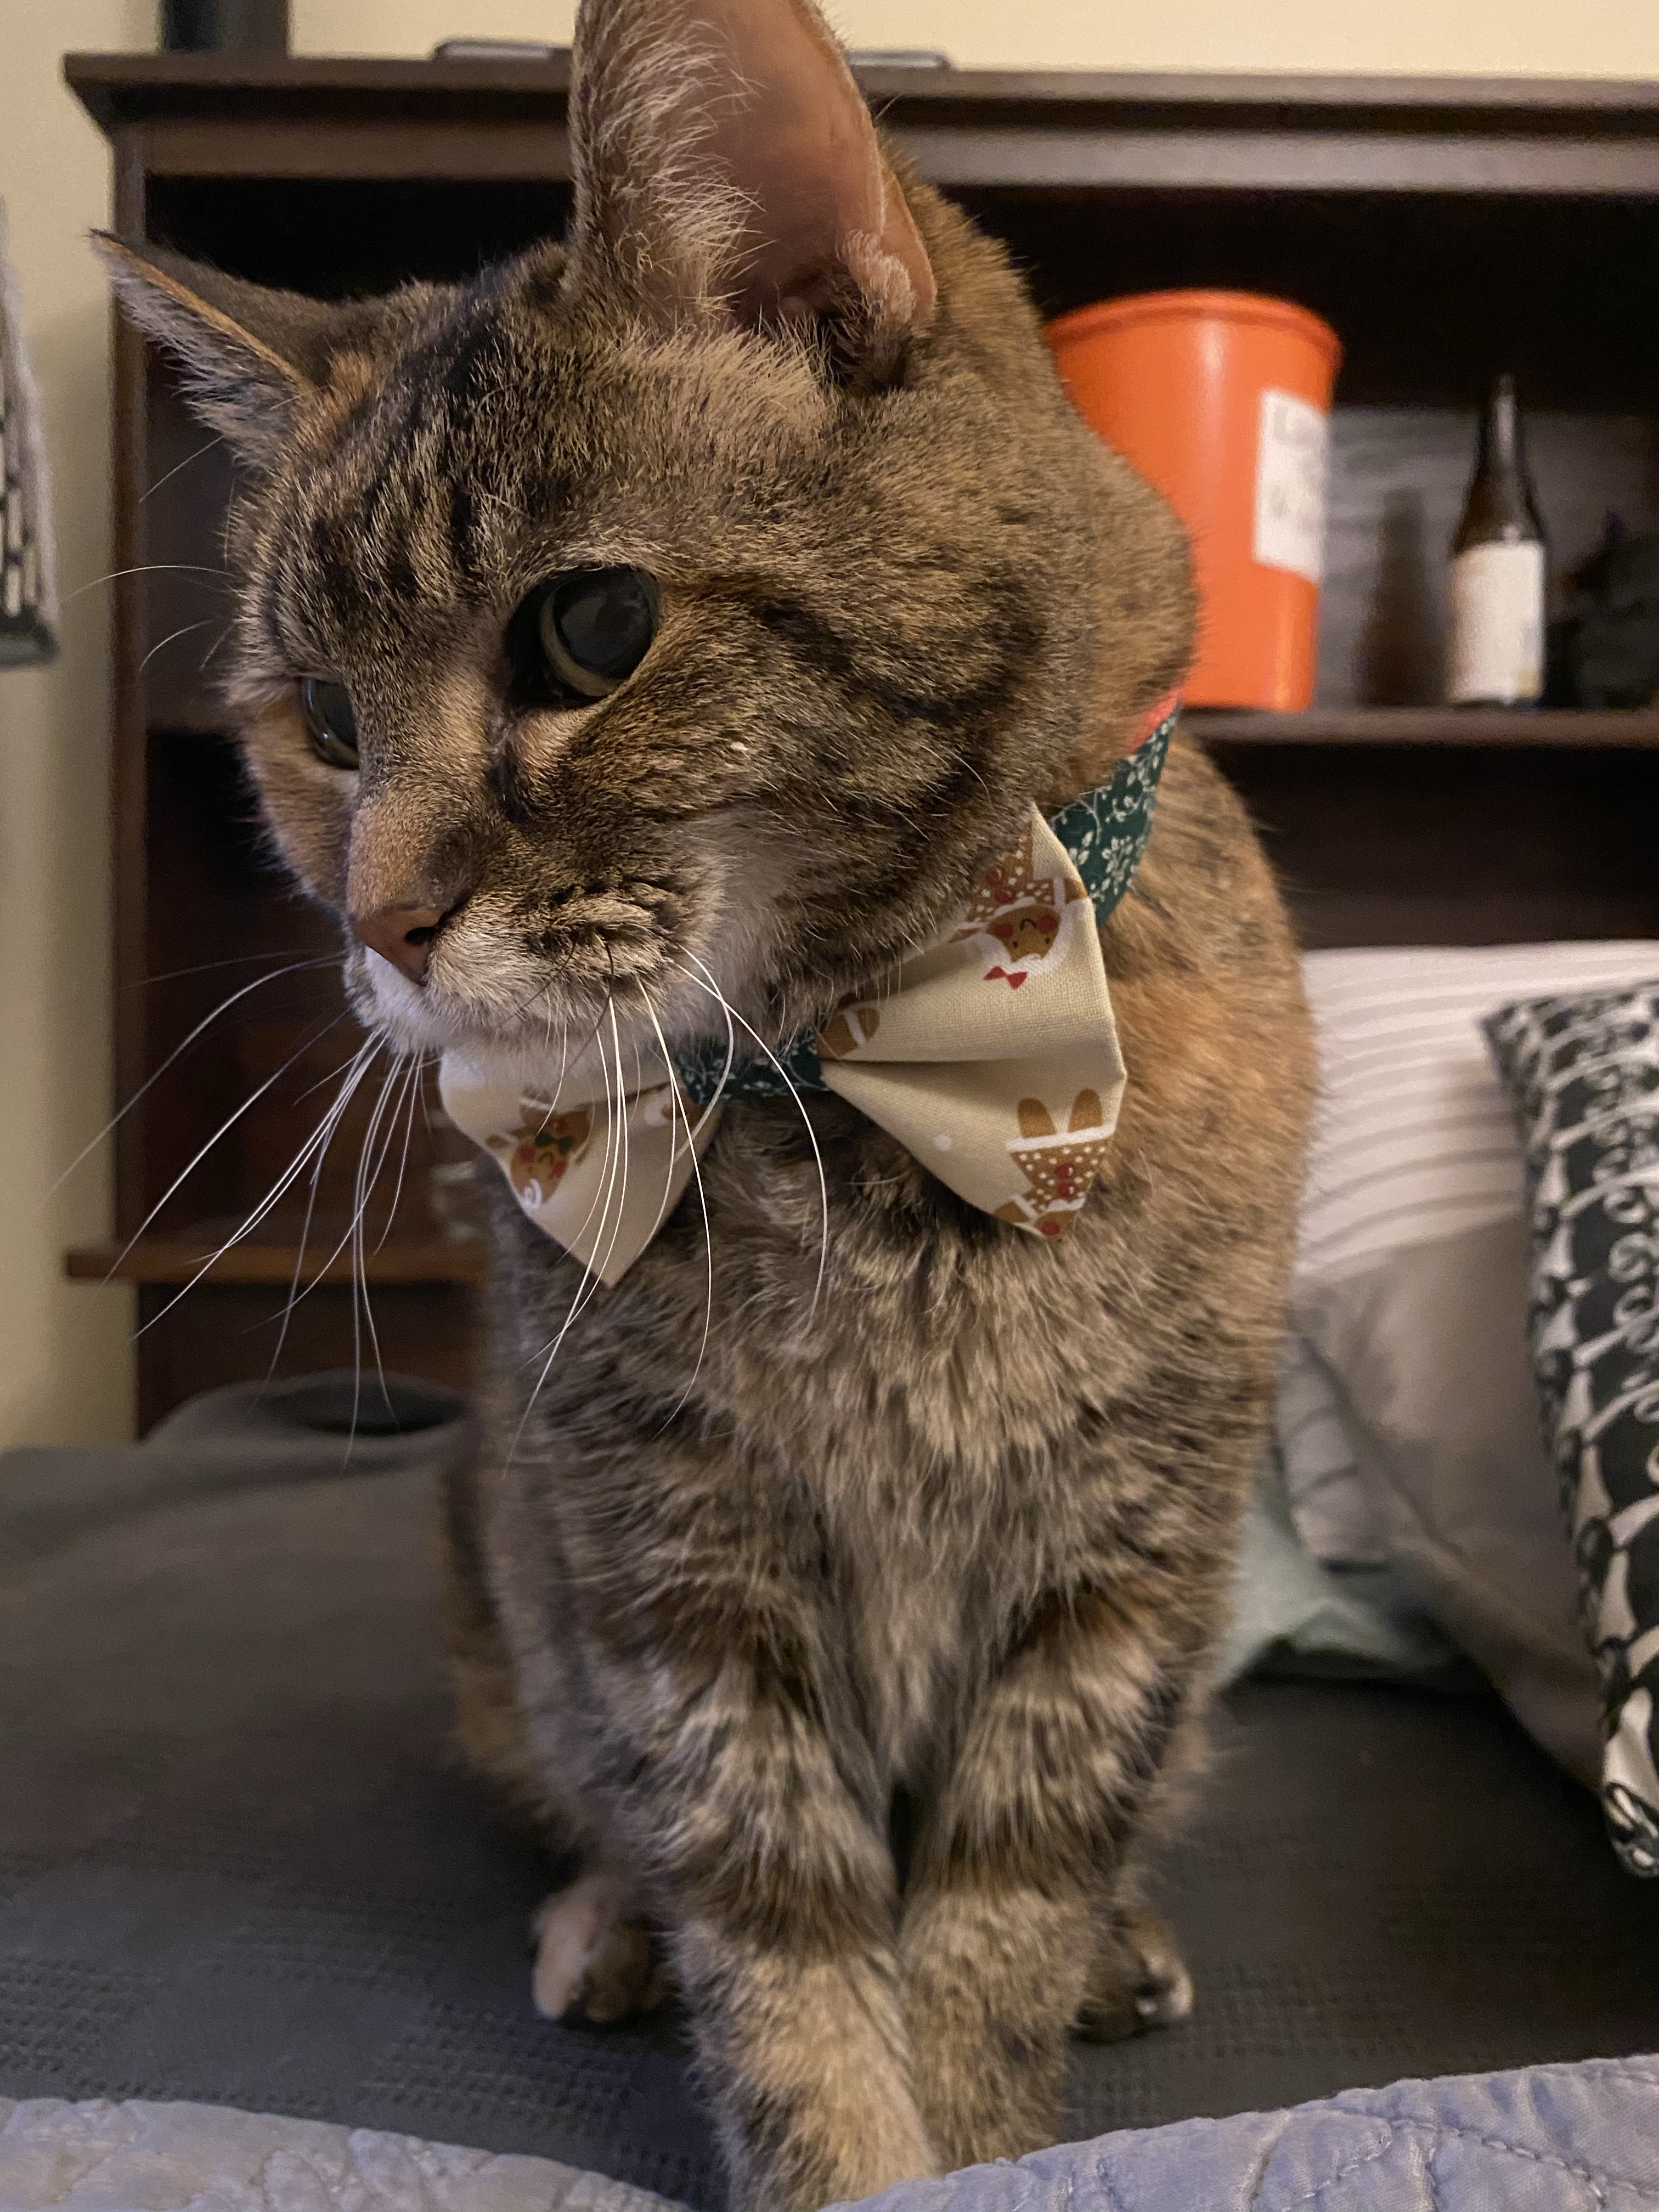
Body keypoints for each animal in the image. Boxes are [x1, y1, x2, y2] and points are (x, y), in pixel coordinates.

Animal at [100, 4, 1309, 2212]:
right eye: (321, 724)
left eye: (588, 628)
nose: (380, 924)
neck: (854, 1087)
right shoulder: (669, 1564)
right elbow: (770, 1924)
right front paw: (840, 2136)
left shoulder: (1120, 1564)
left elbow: (1005, 1900)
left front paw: (987, 2102)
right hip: (505, 1583)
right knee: (594, 1810)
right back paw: (599, 1923)